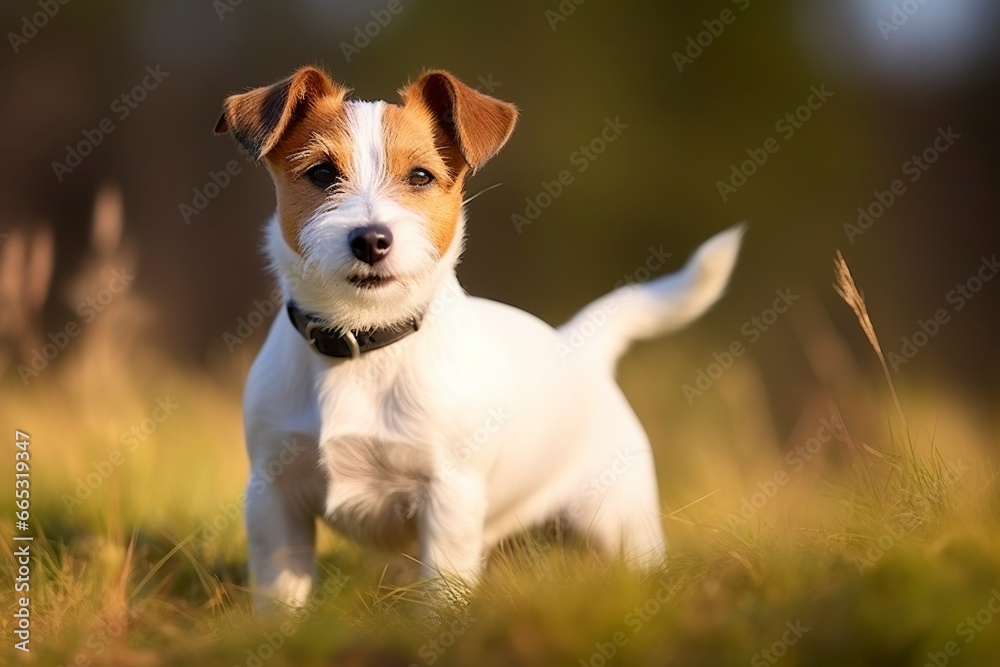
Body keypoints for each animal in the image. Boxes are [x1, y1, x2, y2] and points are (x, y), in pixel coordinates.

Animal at [217, 65, 744, 612]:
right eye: (322, 173)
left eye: (421, 176)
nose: (371, 240)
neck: (364, 342)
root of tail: (578, 348)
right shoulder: (273, 497)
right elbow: (282, 592)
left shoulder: (450, 497)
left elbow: (442, 593)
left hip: (619, 520)